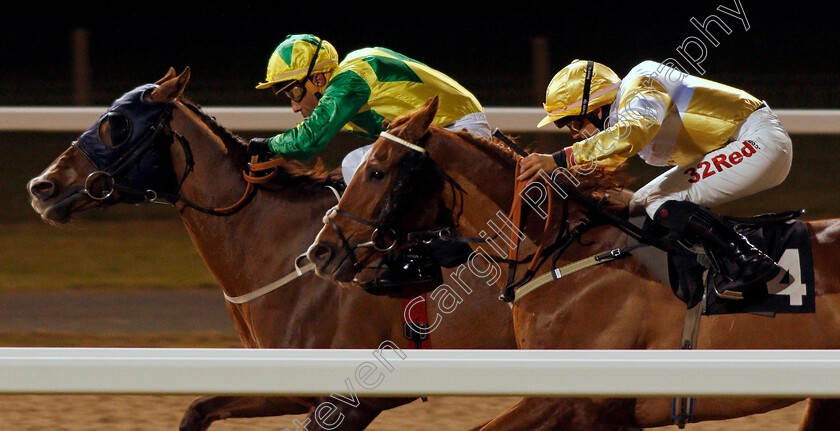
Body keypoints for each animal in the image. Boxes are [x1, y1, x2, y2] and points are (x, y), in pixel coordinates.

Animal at [27, 69, 520, 430]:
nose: (41, 186)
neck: (283, 251)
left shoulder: (350, 400)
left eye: (116, 126)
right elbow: (198, 408)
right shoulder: (282, 384)